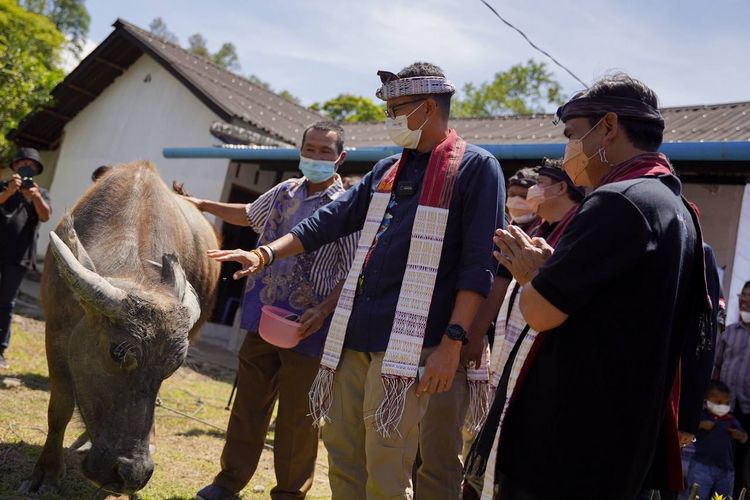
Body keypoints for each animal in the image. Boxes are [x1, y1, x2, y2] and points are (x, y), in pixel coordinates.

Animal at [20, 162, 220, 494]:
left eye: (173, 367)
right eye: (118, 352)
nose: (132, 474)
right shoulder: (55, 333)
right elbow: (60, 407)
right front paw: (46, 472)